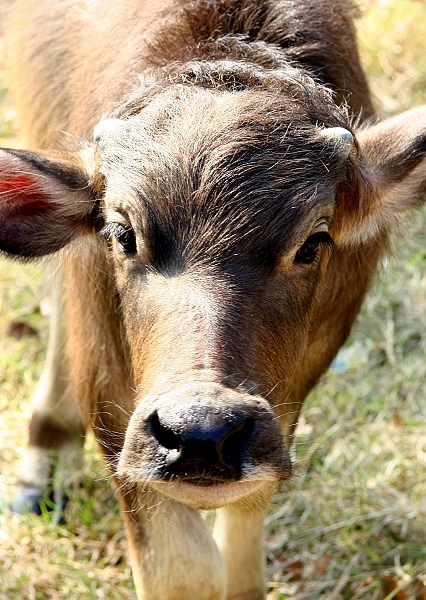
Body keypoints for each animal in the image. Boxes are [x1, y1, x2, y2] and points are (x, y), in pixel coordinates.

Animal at [0, 1, 426, 600]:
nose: (203, 432)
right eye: (121, 232)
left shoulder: (286, 400)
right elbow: (184, 568)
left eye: (313, 241)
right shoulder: (112, 397)